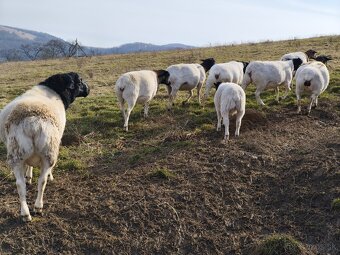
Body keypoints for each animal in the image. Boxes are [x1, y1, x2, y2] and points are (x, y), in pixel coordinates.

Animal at [0, 72, 89, 221]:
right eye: (80, 81)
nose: (88, 89)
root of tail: (32, 123)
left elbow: (28, 166)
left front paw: (28, 176)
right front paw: (49, 176)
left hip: (16, 153)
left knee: (19, 184)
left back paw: (25, 213)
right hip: (49, 151)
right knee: (42, 181)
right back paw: (38, 207)